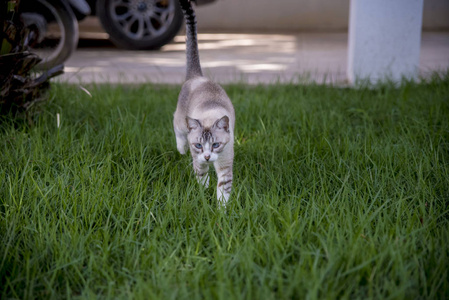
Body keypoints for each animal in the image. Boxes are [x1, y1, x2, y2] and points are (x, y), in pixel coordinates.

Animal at [172, 0, 234, 206]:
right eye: (199, 145)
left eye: (215, 145)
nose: (207, 156)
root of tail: (197, 77)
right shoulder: (198, 161)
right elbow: (202, 179)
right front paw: (203, 196)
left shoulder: (225, 164)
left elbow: (223, 188)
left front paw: (221, 210)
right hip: (180, 121)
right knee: (178, 130)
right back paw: (181, 150)